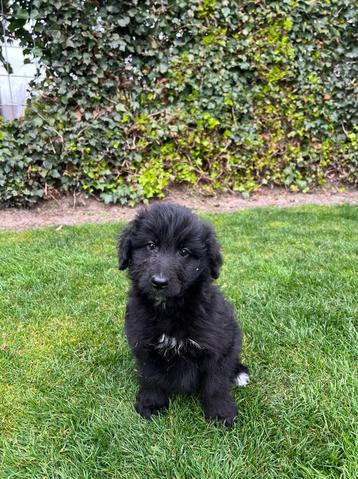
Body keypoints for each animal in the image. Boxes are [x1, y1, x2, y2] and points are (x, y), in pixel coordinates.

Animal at [118, 202, 249, 428]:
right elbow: (150, 378)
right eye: (151, 245)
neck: (170, 310)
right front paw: (152, 404)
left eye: (184, 252)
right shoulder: (144, 347)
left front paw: (220, 413)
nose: (159, 282)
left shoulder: (216, 349)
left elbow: (216, 384)